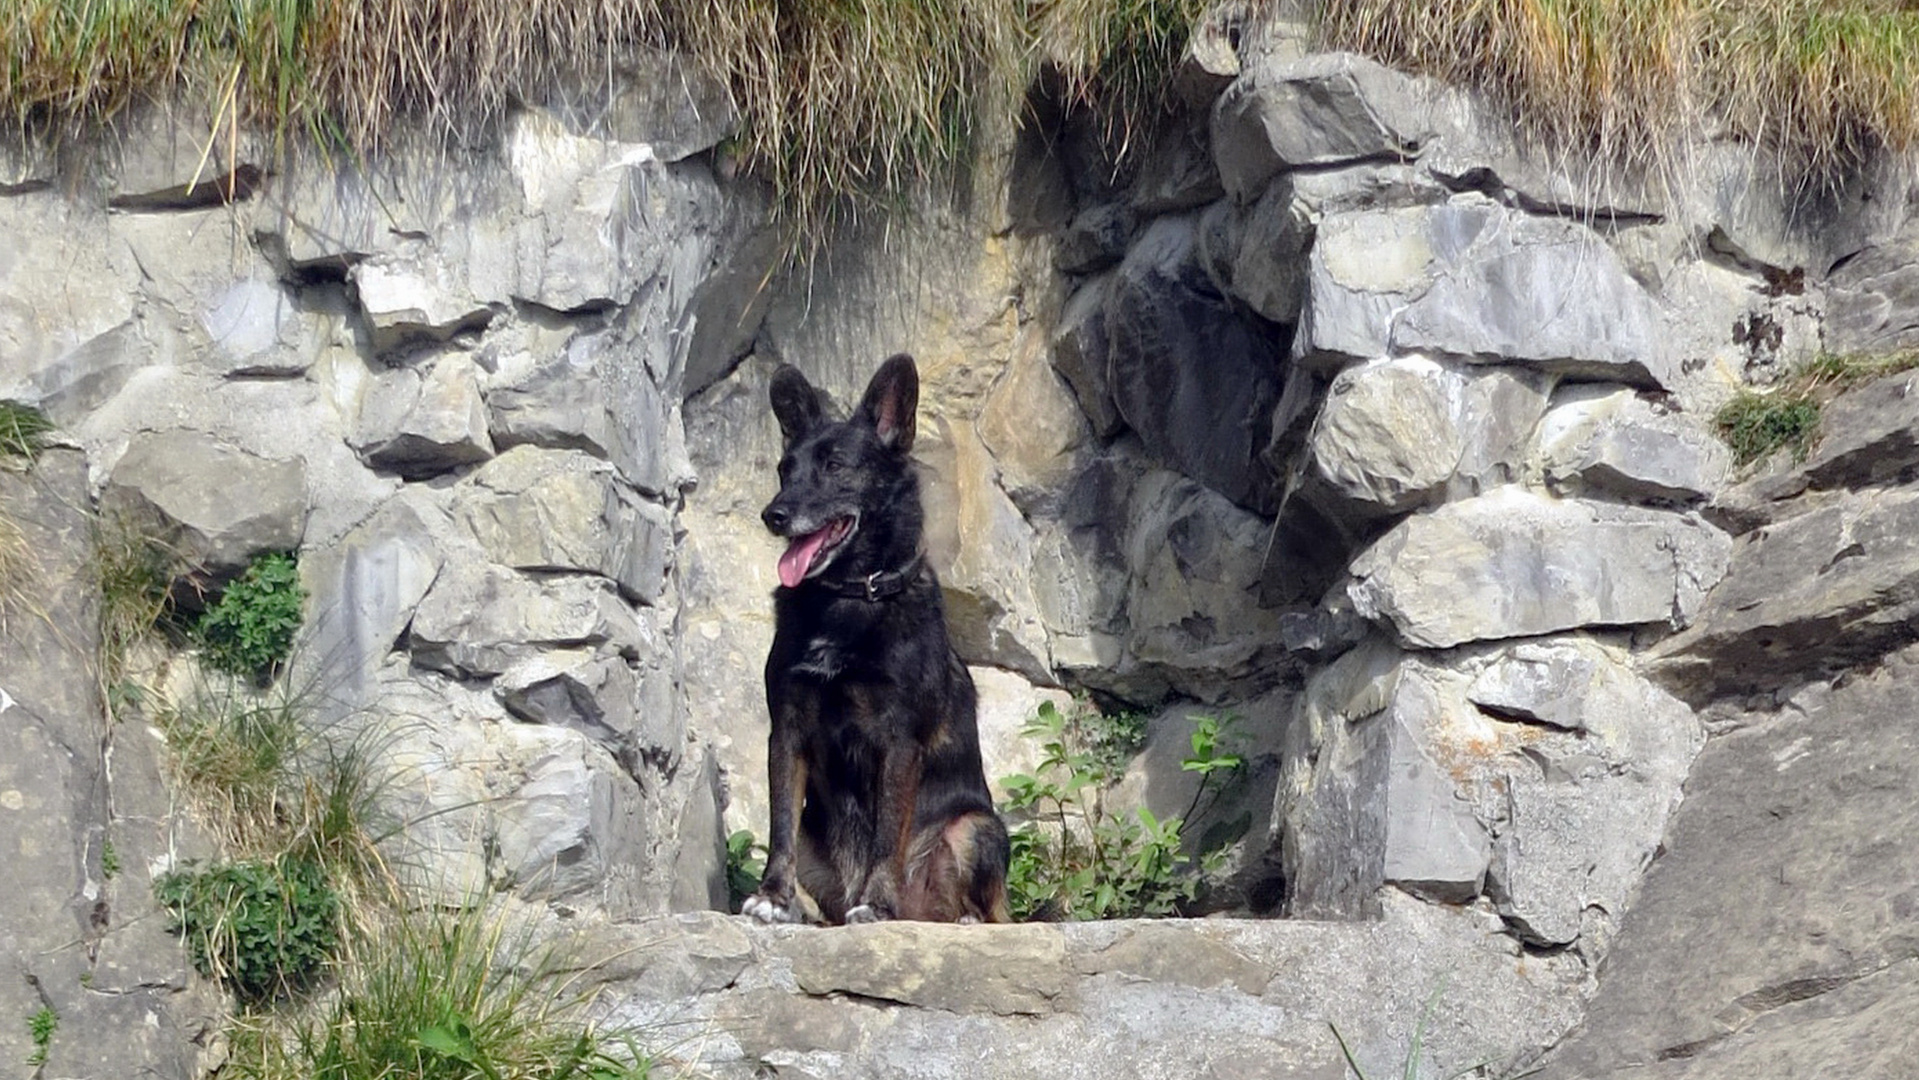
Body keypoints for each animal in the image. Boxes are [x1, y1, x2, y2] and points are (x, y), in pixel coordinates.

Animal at [740, 356, 1013, 928]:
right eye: (785, 470)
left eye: (835, 466)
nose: (774, 515)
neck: (850, 596)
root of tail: (921, 914)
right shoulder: (788, 730)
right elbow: (779, 827)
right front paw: (772, 896)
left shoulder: (898, 739)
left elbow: (887, 834)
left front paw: (878, 900)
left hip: (975, 827)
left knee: (985, 911)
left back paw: (947, 916)